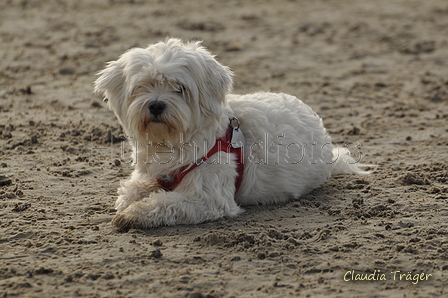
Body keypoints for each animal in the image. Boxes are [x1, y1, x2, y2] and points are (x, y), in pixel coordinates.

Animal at [93, 37, 372, 230]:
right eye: (142, 86)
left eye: (179, 88)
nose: (156, 105)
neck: (172, 141)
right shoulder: (152, 174)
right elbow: (131, 189)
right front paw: (131, 200)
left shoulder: (207, 198)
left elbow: (165, 203)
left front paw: (133, 214)